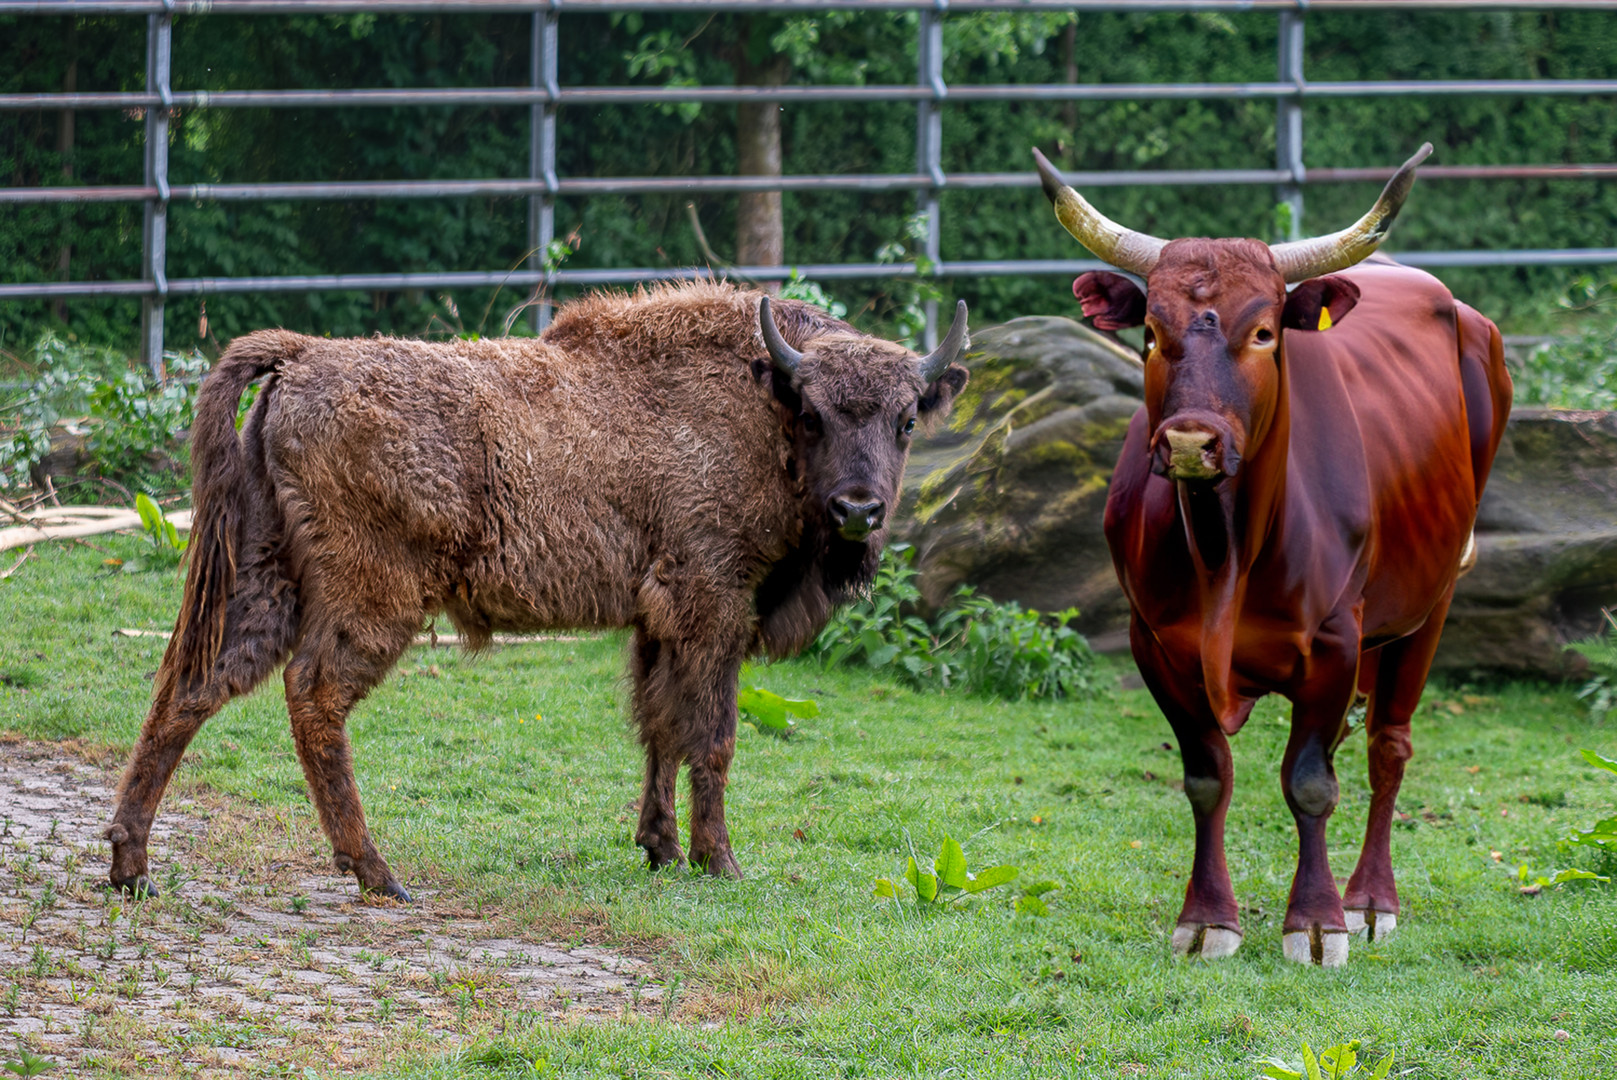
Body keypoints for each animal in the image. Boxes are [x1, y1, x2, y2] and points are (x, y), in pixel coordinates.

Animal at [107, 282, 963, 898]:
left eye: (906, 420)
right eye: (813, 415)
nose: (858, 510)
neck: (758, 402)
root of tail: (302, 359)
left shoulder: (656, 624)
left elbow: (658, 727)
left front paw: (658, 848)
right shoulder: (714, 608)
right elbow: (711, 735)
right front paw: (719, 862)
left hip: (264, 580)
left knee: (192, 687)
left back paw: (130, 865)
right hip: (372, 600)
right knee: (312, 694)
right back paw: (377, 874)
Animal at [1041, 147, 1507, 963]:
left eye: (1262, 332)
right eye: (1150, 332)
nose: (1190, 441)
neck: (1225, 551)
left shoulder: (1334, 642)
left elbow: (1311, 781)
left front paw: (1317, 921)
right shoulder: (1153, 643)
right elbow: (1206, 776)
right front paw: (1207, 917)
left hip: (1432, 602)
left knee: (1387, 746)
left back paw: (1370, 900)